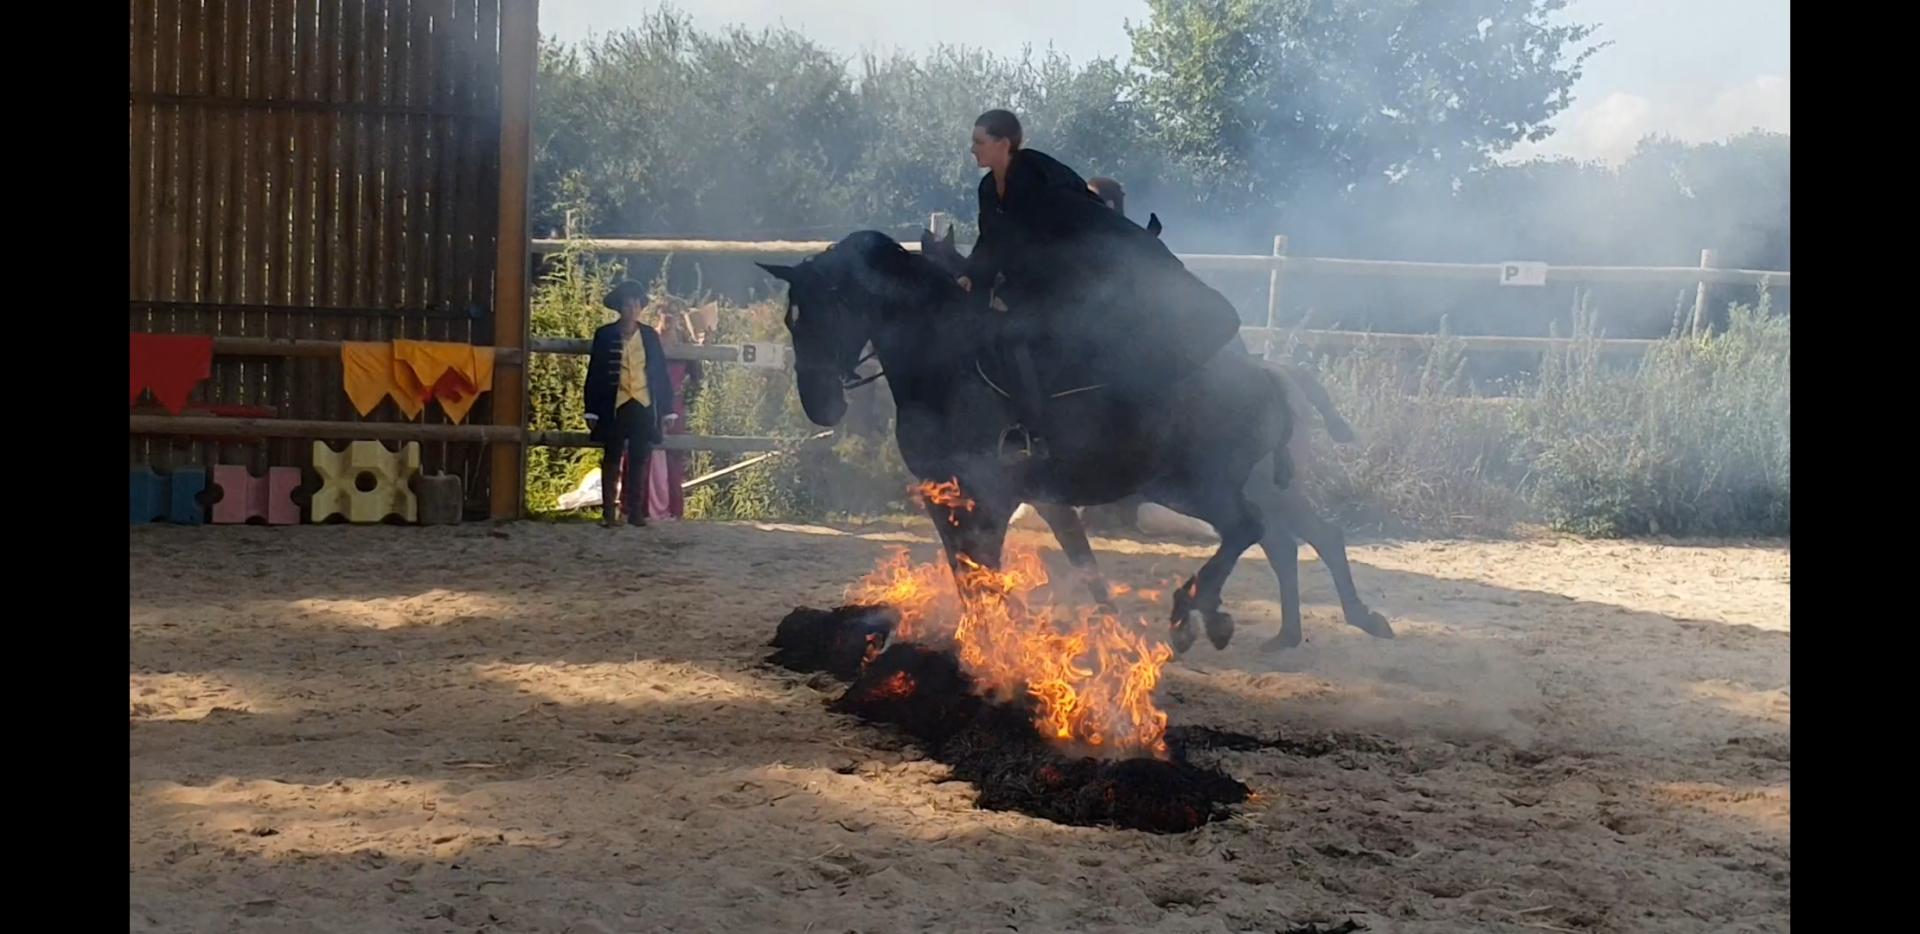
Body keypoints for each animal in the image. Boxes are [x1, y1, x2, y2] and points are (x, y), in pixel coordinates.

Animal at [756, 229, 1313, 653]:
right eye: (791, 319)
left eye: (826, 314)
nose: (819, 406)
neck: (947, 365)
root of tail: (1263, 373)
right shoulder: (949, 497)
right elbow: (972, 572)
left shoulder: (992, 497)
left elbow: (986, 570)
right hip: (1186, 487)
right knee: (1258, 533)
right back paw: (1213, 616)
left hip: (1199, 485)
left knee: (1251, 528)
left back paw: (1190, 613)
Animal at [917, 225, 1397, 649]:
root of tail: (1276, 374)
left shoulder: (1044, 499)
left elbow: (1079, 556)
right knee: (1284, 544)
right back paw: (1289, 633)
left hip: (1256, 491)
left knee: (1312, 538)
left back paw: (1346, 620)